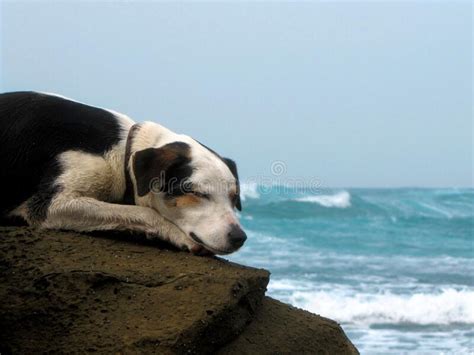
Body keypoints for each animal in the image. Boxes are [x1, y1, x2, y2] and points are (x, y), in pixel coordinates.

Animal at [0, 92, 248, 256]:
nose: (239, 237)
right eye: (197, 193)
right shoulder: (50, 205)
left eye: (234, 198)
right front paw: (177, 235)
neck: (124, 154)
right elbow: (143, 212)